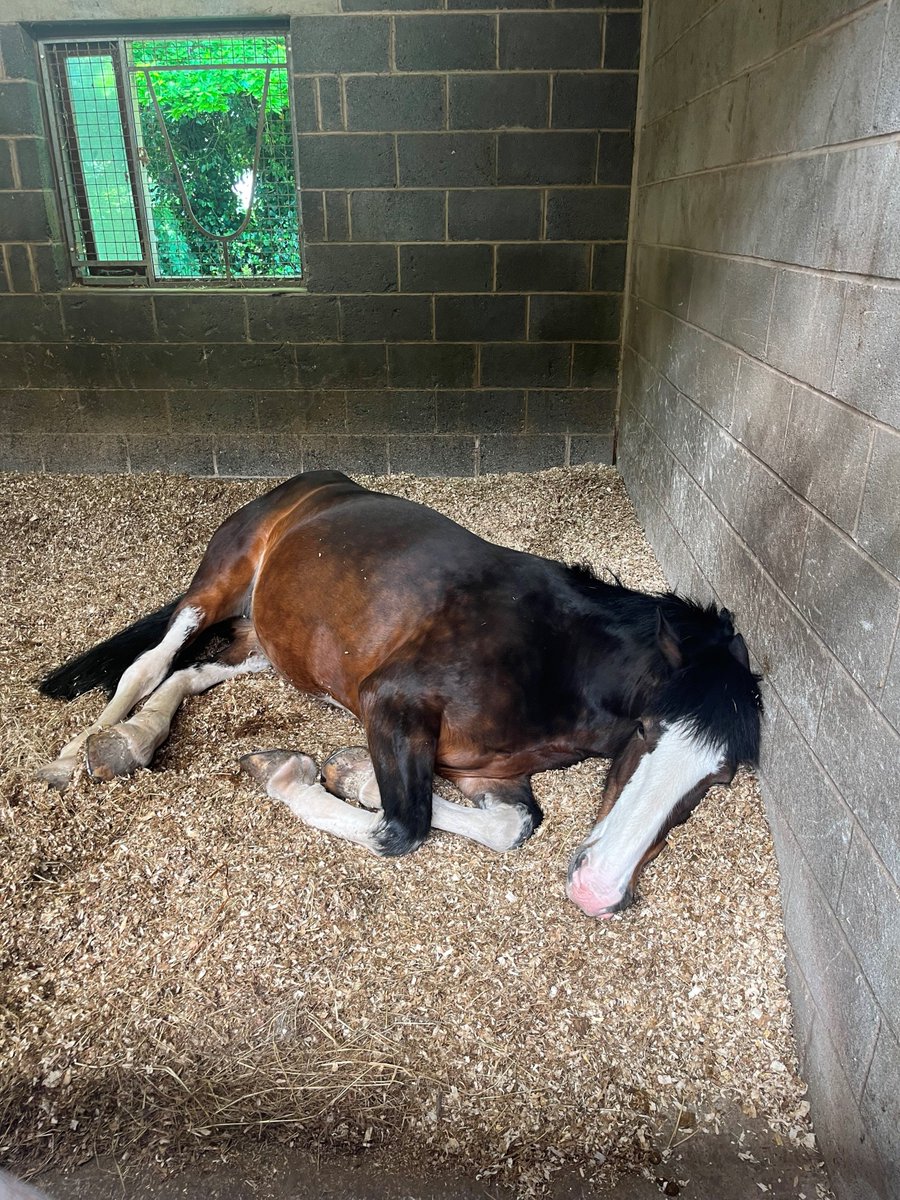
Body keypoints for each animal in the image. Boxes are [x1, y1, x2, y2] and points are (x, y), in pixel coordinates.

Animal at [38, 470, 763, 916]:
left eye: (719, 778)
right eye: (646, 730)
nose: (597, 889)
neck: (551, 656)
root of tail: (312, 484)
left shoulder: (488, 775)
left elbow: (511, 827)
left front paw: (352, 773)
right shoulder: (389, 699)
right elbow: (402, 827)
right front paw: (291, 774)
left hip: (270, 643)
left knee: (189, 675)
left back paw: (132, 742)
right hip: (219, 581)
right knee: (148, 664)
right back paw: (76, 756)